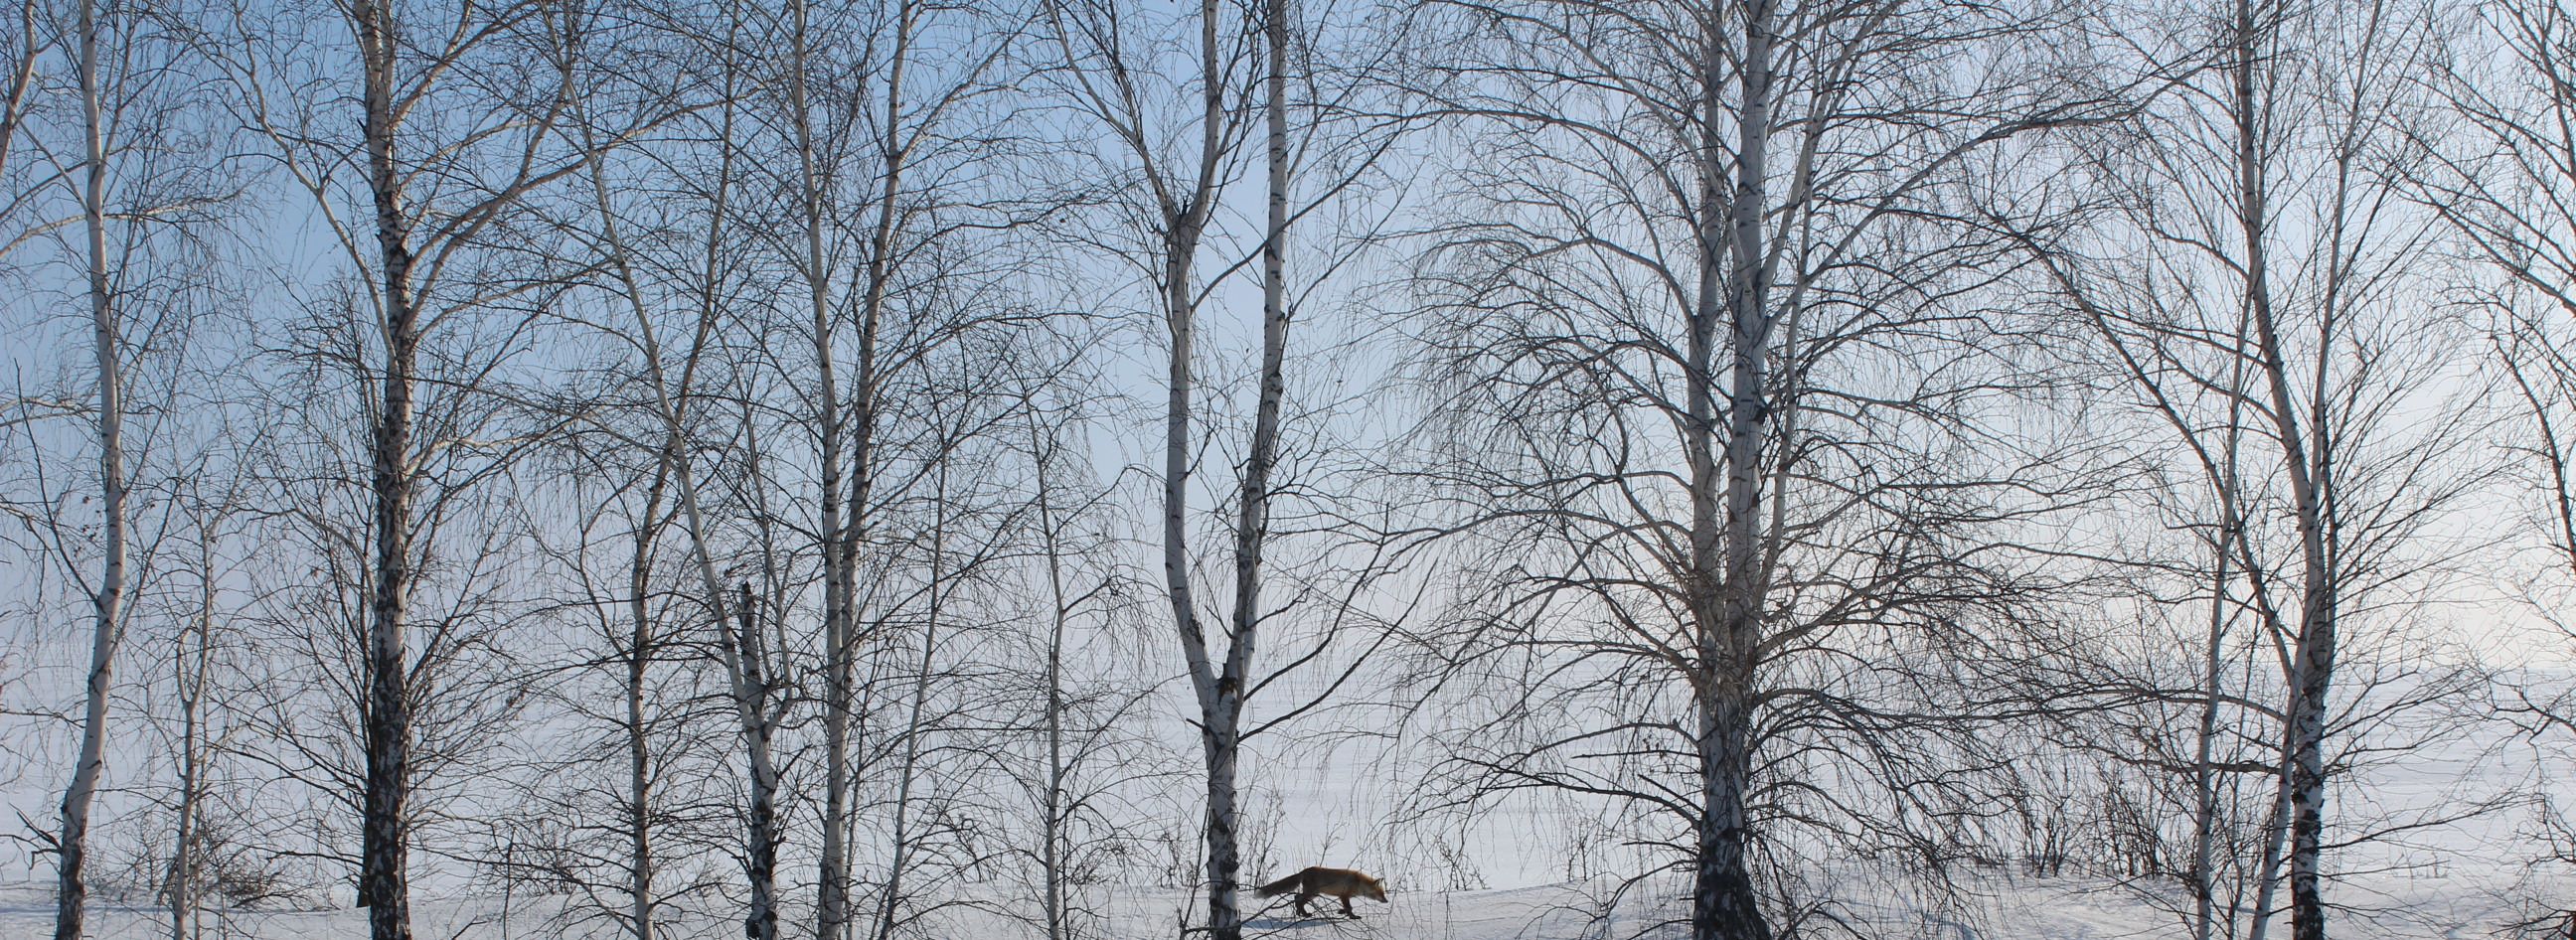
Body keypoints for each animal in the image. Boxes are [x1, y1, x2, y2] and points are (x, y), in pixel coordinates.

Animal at [1251, 864, 1390, 916]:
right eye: (1381, 893)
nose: (1387, 901)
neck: (1358, 883)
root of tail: (1304, 871)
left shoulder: (1343, 897)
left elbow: (1347, 908)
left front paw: (1342, 912)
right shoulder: (1344, 895)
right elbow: (1349, 908)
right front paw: (1353, 917)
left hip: (1313, 894)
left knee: (1296, 898)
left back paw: (1299, 913)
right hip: (1312, 893)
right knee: (1298, 899)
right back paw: (1304, 914)